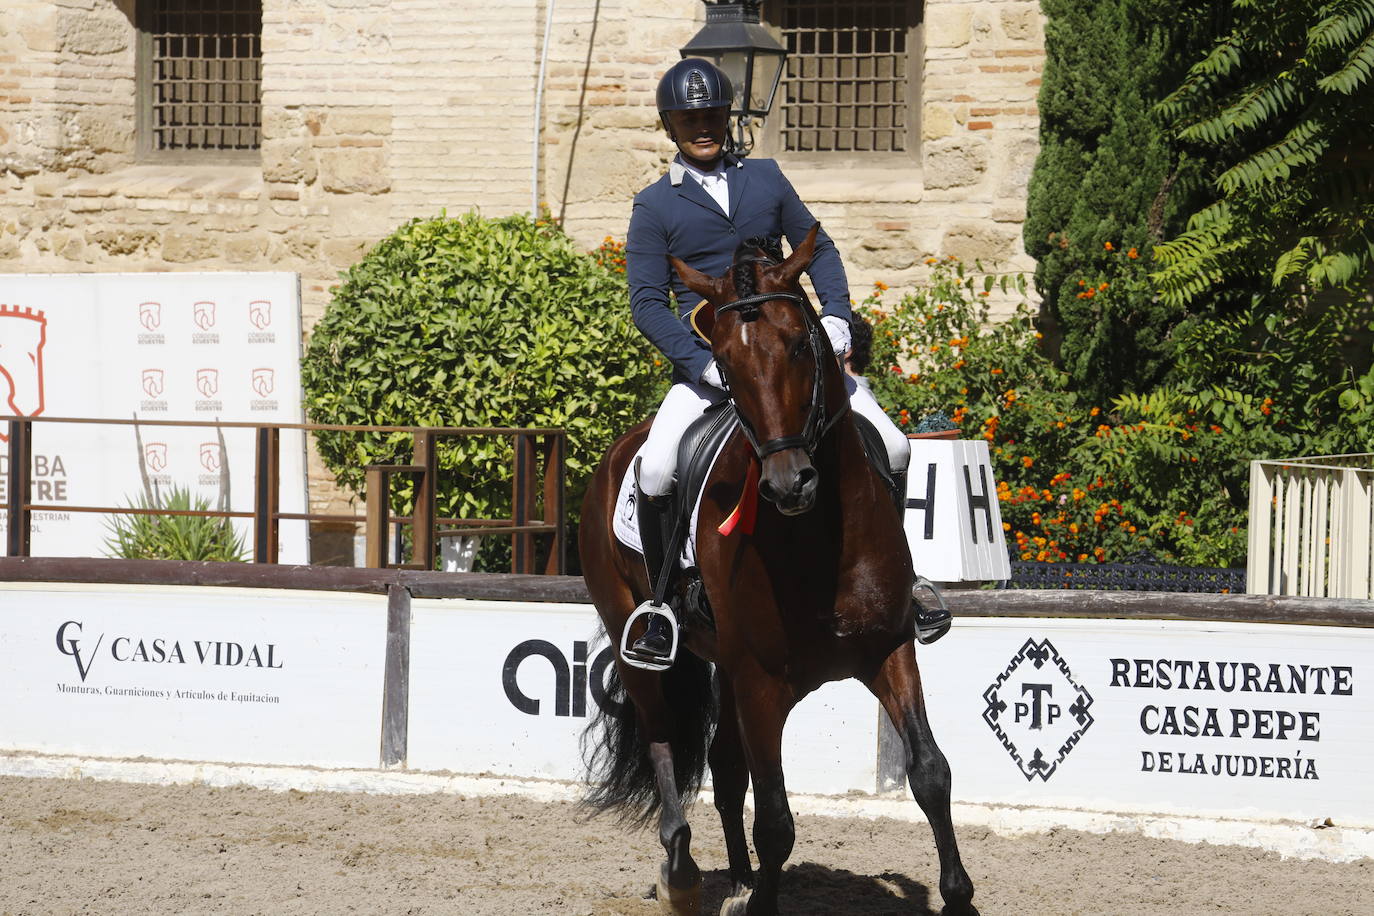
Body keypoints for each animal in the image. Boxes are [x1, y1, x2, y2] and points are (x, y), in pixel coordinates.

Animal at [582, 227, 978, 916]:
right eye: (724, 362)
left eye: (799, 343)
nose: (789, 483)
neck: (820, 542)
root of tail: (613, 458)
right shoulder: (760, 680)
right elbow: (774, 817)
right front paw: (758, 897)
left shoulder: (890, 649)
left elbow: (930, 772)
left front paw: (957, 896)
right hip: (647, 649)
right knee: (664, 742)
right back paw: (681, 875)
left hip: (725, 664)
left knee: (723, 767)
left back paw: (739, 879)